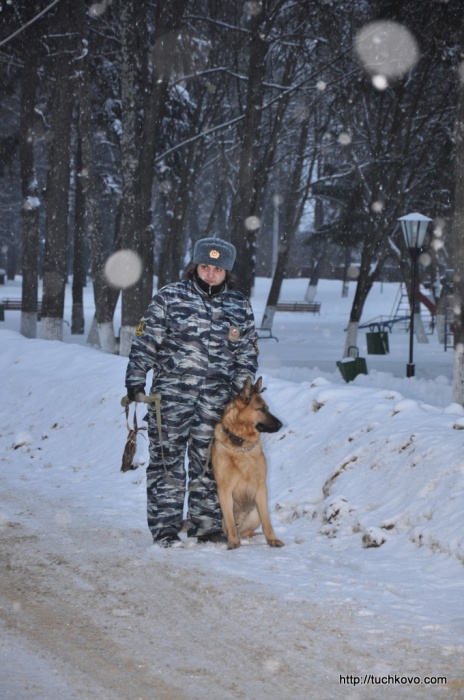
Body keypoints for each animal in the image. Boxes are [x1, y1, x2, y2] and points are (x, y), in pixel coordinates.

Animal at [212, 374, 284, 548]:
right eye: (261, 409)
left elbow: (267, 521)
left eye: (268, 408)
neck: (241, 445)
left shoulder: (261, 488)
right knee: (233, 526)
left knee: (248, 531)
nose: (281, 424)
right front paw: (232, 542)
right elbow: (230, 522)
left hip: (254, 513)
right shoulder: (224, 491)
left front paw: (272, 539)